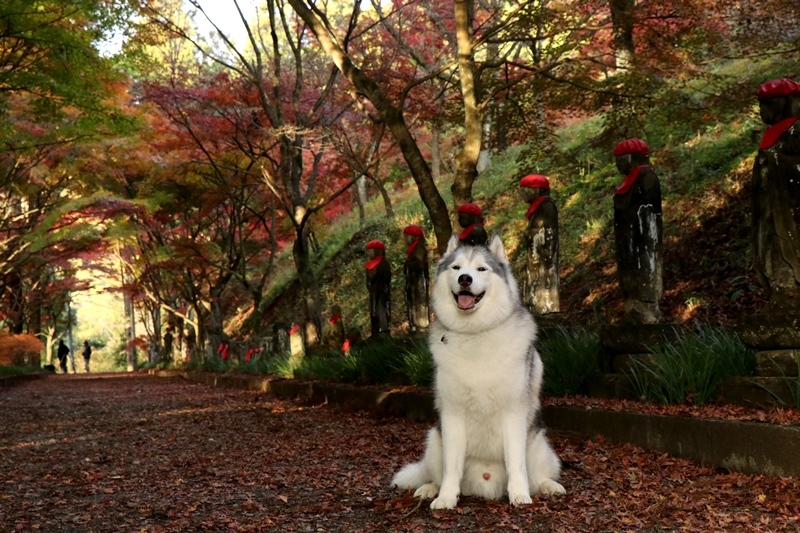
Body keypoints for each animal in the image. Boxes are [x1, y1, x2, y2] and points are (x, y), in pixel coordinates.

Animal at [392, 234, 564, 508]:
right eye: (456, 268)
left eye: (481, 269)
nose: (465, 279)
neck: (475, 333)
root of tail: (486, 485)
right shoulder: (452, 416)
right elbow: (451, 467)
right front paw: (446, 498)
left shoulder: (513, 413)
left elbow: (516, 464)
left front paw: (519, 495)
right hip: (434, 440)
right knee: (435, 474)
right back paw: (430, 489)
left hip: (538, 444)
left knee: (538, 476)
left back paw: (548, 486)